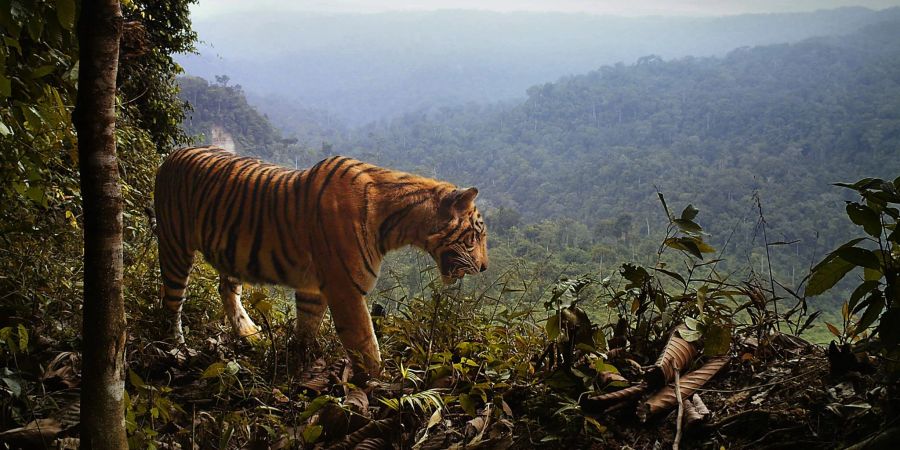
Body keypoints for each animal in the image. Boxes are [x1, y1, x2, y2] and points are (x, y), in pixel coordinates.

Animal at [156, 146, 492, 374]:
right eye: (476, 235)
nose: (485, 267)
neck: (398, 223)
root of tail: (174, 153)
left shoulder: (313, 288)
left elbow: (307, 326)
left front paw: (298, 362)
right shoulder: (345, 289)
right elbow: (365, 343)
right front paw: (379, 386)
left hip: (230, 254)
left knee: (225, 288)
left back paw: (250, 333)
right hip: (174, 248)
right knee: (171, 303)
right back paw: (175, 348)